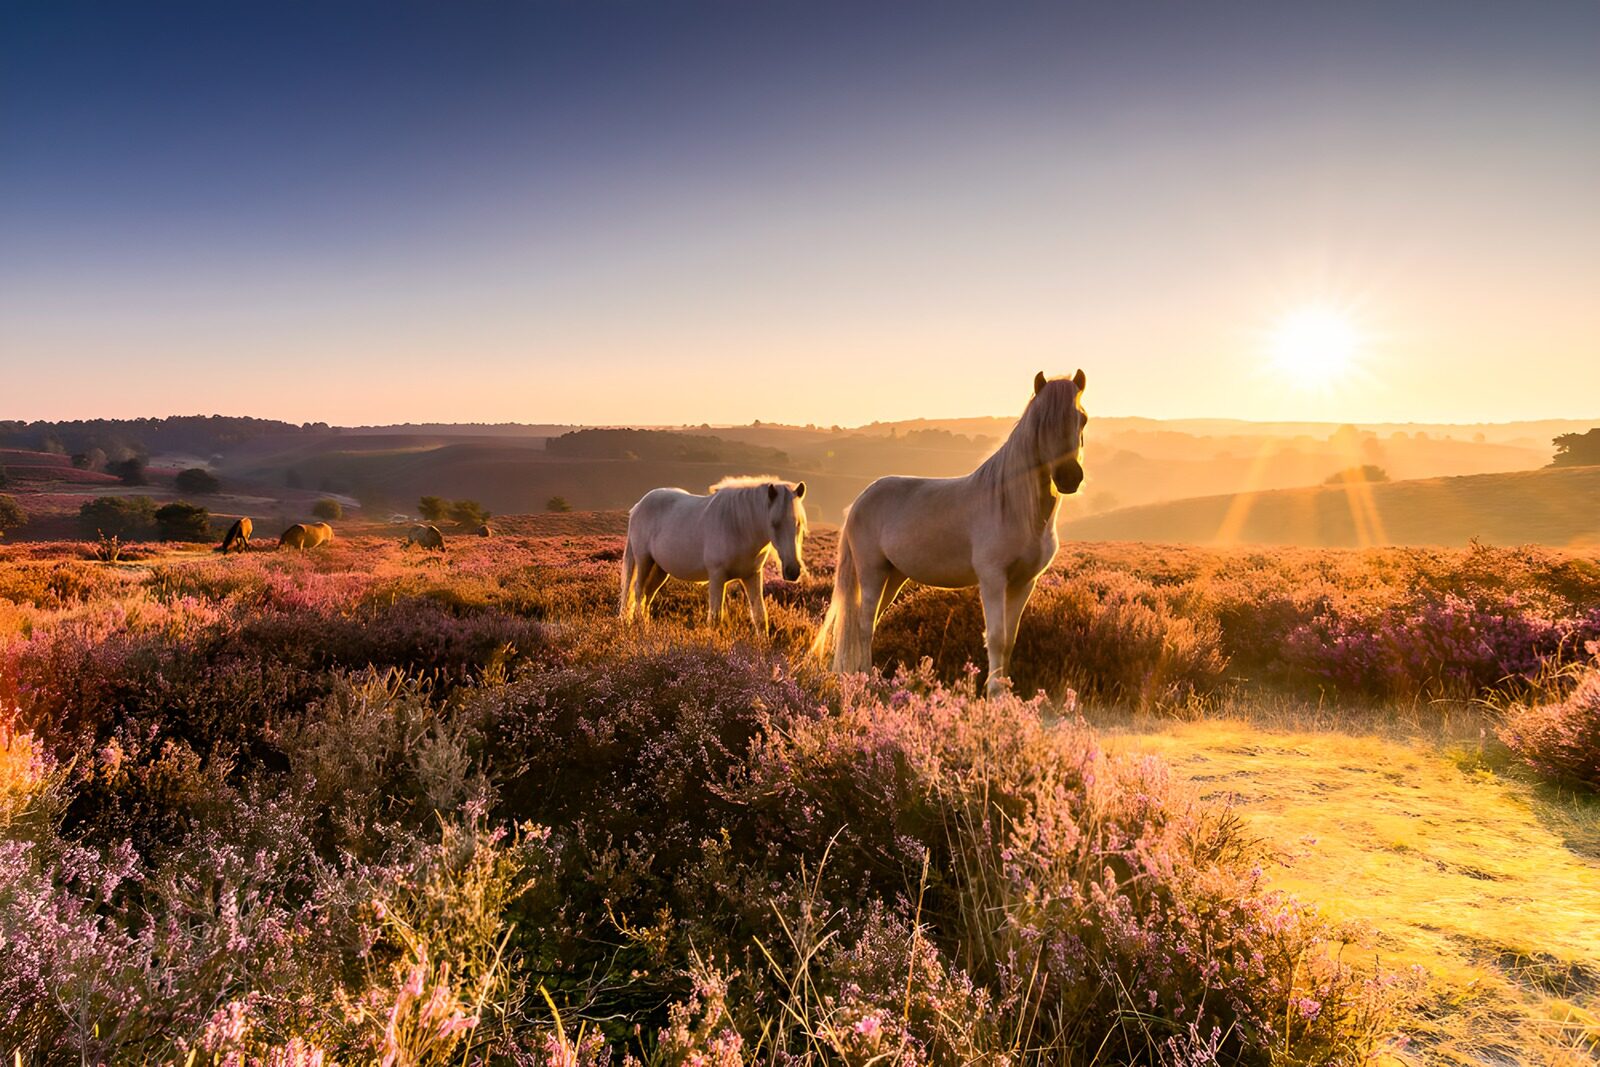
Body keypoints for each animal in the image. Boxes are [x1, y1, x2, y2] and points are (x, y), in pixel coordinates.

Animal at [621, 477, 807, 633]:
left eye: (798, 523)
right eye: (774, 524)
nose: (792, 571)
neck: (739, 527)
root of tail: (638, 506)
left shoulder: (752, 576)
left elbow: (760, 617)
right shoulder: (717, 577)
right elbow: (716, 619)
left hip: (660, 569)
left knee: (647, 594)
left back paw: (646, 626)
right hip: (644, 561)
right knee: (638, 591)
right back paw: (639, 627)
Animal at [813, 370, 1087, 696]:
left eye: (1082, 419)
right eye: (1041, 423)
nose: (1069, 477)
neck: (1014, 507)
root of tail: (861, 499)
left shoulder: (1024, 582)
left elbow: (1009, 641)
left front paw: (1004, 693)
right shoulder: (993, 578)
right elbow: (996, 637)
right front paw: (993, 695)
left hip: (894, 576)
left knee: (871, 621)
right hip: (872, 571)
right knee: (865, 624)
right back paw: (866, 678)